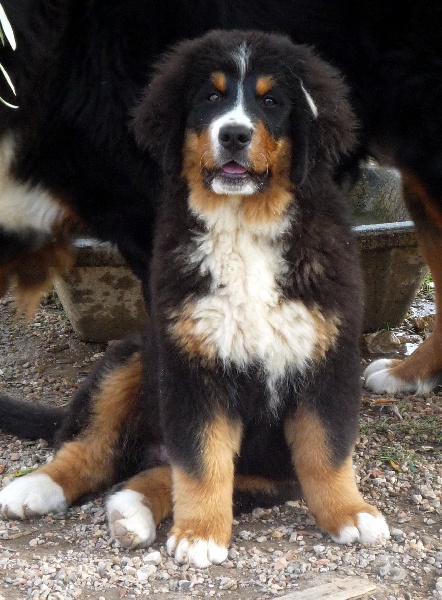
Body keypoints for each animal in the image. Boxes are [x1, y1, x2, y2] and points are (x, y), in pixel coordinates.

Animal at [0, 30, 389, 567]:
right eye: (210, 97)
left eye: (272, 102)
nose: (234, 135)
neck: (245, 224)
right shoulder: (192, 360)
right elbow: (203, 459)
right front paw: (202, 534)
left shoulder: (325, 356)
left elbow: (325, 450)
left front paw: (350, 513)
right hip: (134, 357)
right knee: (94, 445)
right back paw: (35, 488)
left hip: (269, 470)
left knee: (172, 472)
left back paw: (132, 507)